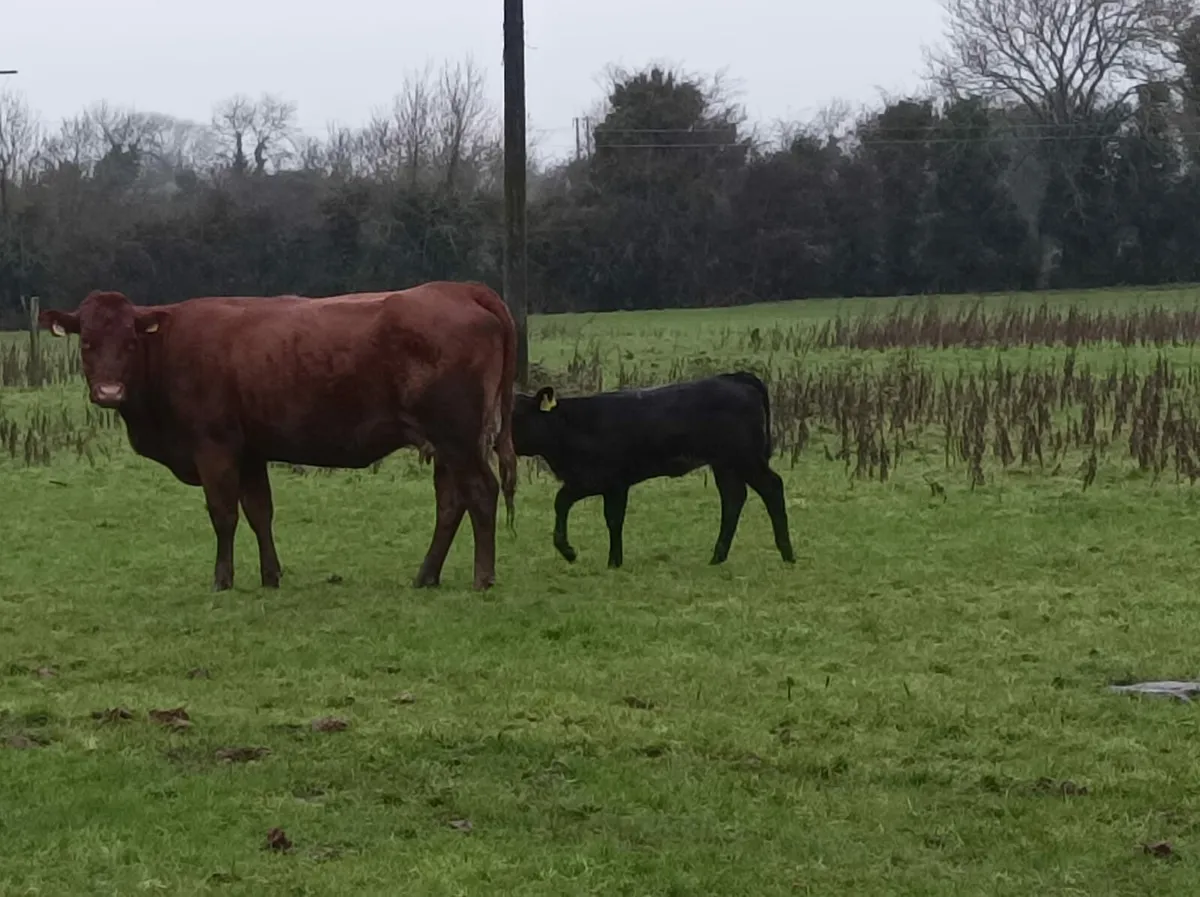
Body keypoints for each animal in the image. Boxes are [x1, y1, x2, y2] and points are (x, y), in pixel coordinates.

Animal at [39, 281, 518, 592]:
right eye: (87, 343)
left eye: (130, 342)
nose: (108, 392)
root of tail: (456, 288)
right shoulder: (251, 452)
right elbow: (259, 512)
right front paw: (271, 576)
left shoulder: (214, 448)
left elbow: (224, 515)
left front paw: (223, 579)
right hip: (446, 444)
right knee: (451, 503)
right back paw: (426, 575)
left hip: (458, 437)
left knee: (481, 492)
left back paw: (483, 577)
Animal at [511, 371, 795, 568]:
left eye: (517, 415)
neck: (572, 426)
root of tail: (735, 377)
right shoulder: (594, 482)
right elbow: (572, 506)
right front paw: (587, 555)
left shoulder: (609, 481)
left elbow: (606, 517)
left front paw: (606, 561)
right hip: (725, 464)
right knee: (733, 498)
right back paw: (717, 556)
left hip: (745, 458)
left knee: (771, 487)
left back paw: (787, 554)